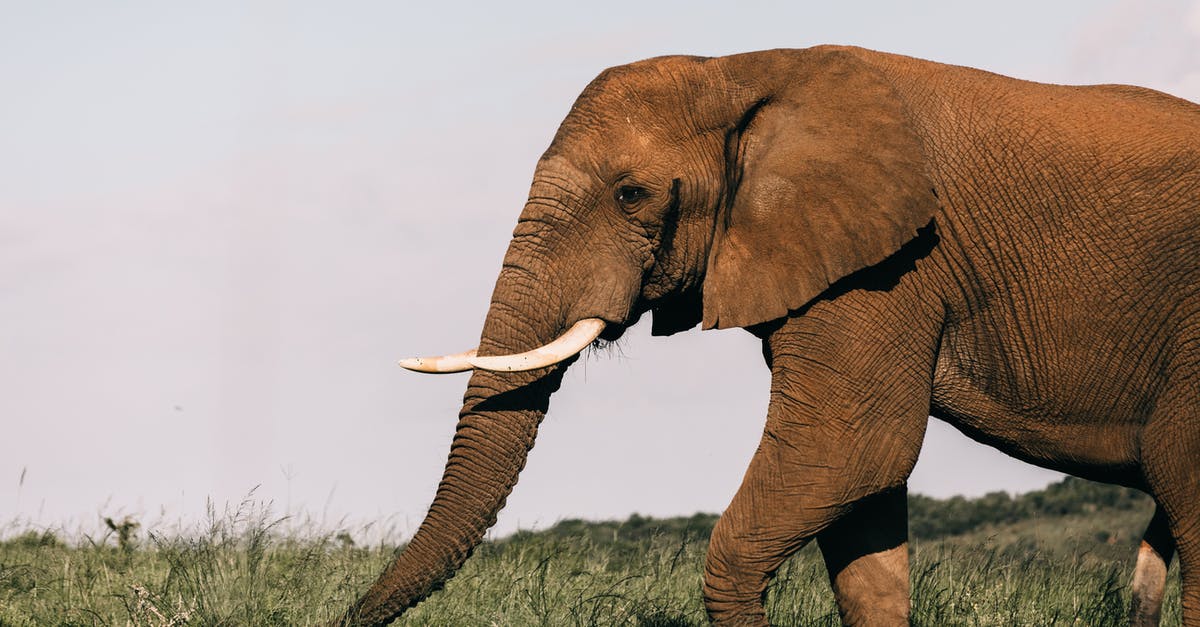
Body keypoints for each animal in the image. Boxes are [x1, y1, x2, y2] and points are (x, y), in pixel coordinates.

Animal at [336, 46, 1200, 619]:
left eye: (630, 193)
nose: (344, 615)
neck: (742, 69)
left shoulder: (890, 263)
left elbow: (851, 452)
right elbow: (863, 511)